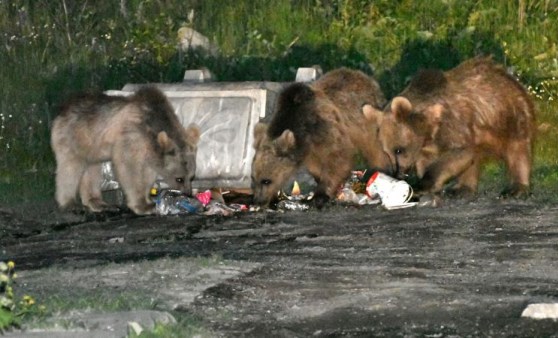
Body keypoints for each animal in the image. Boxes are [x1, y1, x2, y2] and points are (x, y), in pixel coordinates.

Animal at [51, 86, 201, 214]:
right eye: (179, 179)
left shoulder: (148, 149)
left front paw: (147, 200)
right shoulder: (131, 136)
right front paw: (142, 205)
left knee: (92, 170)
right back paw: (70, 203)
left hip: (92, 147)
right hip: (72, 137)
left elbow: (147, 173)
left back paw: (98, 202)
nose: (188, 193)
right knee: (70, 167)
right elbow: (129, 168)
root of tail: (63, 110)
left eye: (192, 176)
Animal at [254, 67, 394, 207]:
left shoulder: (327, 129)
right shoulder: (310, 148)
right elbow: (315, 166)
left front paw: (320, 195)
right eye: (254, 178)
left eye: (266, 180)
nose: (259, 201)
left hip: (366, 118)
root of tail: (364, 76)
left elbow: (338, 158)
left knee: (375, 147)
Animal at [364, 56, 540, 197]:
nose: (398, 173)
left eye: (399, 150)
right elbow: (429, 161)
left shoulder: (455, 125)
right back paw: (461, 188)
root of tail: (505, 73)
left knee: (517, 150)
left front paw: (421, 185)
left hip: (511, 114)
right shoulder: (427, 145)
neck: (430, 126)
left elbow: (457, 153)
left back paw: (516, 187)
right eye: (386, 151)